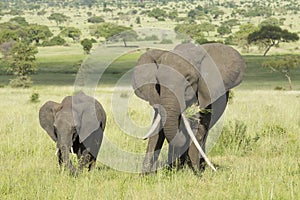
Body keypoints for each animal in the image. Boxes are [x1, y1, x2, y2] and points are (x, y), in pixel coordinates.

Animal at [132, 42, 246, 173]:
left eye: (188, 81)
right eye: (158, 82)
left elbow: (197, 126)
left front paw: (194, 172)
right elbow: (158, 128)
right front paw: (147, 174)